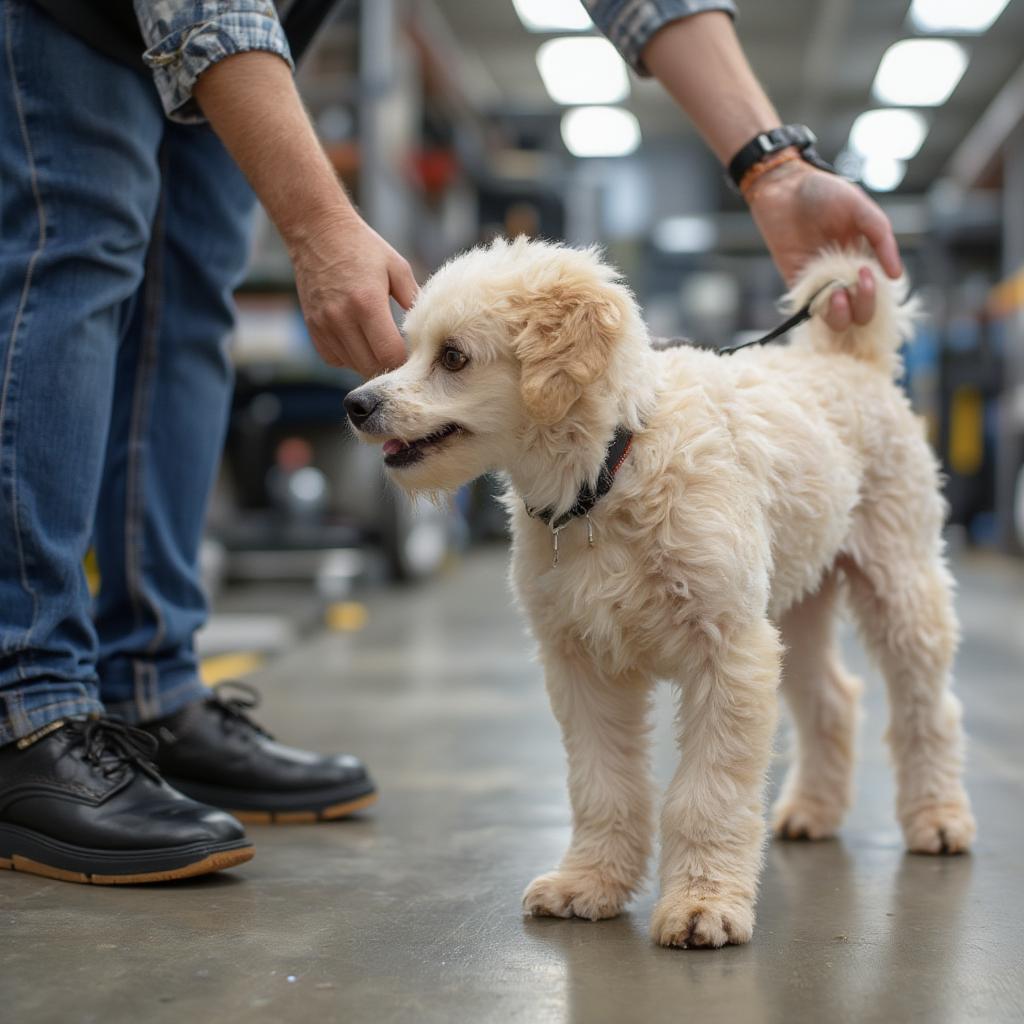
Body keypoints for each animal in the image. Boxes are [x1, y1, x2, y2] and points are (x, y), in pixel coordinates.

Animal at [344, 235, 974, 946]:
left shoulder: (730, 654)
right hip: (795, 609)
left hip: (902, 588)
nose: (355, 404)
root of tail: (849, 360)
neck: (611, 472)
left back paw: (939, 819)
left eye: (453, 356)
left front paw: (703, 904)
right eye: (410, 348)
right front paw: (589, 883)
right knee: (834, 701)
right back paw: (812, 810)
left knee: (929, 710)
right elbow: (602, 787)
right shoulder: (582, 665)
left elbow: (706, 796)